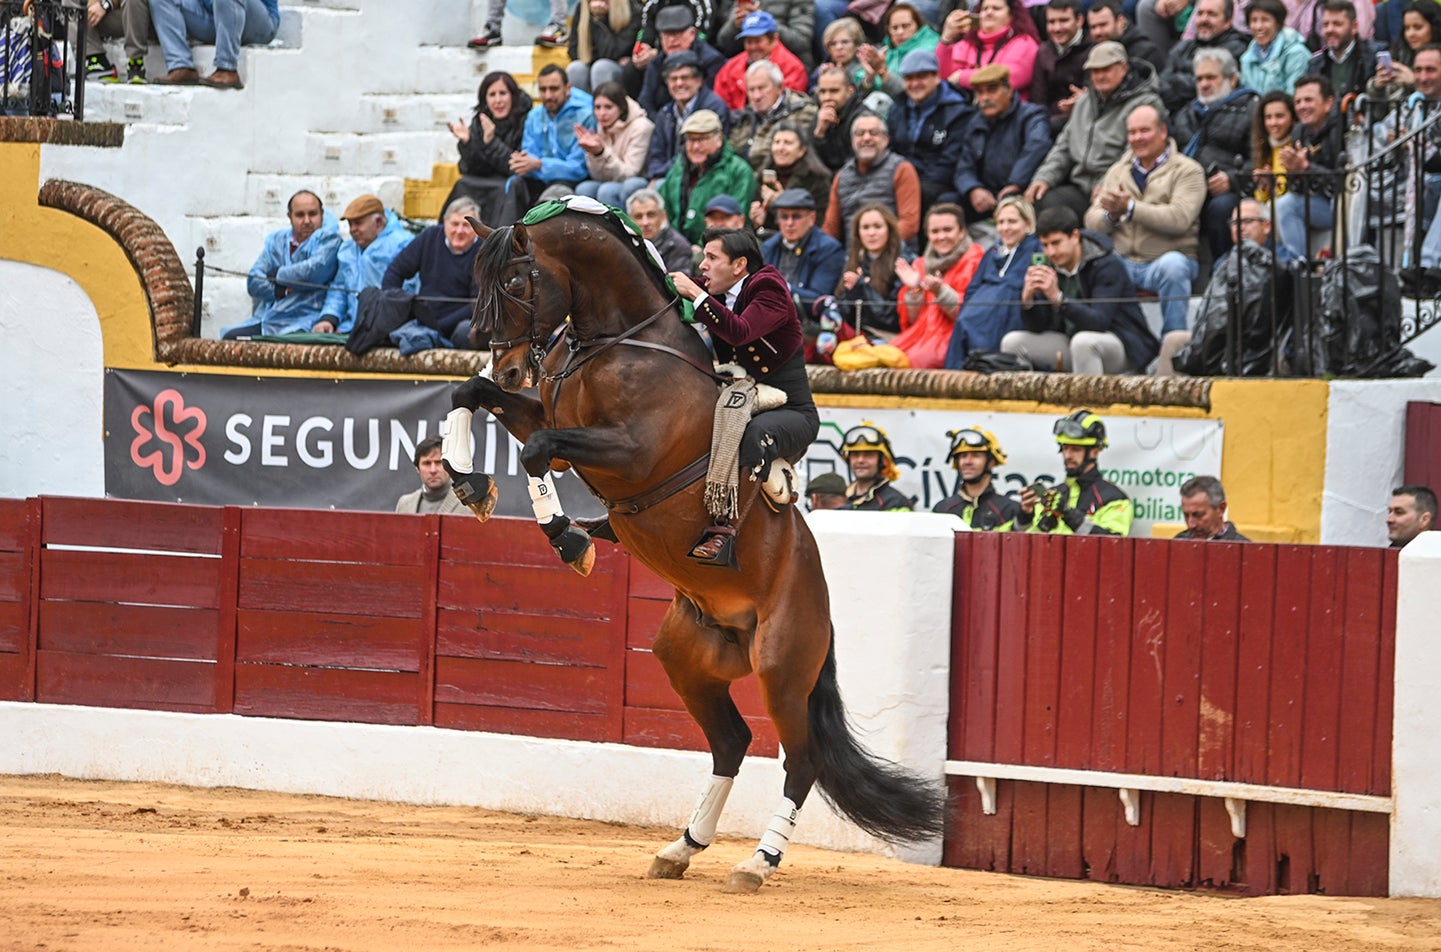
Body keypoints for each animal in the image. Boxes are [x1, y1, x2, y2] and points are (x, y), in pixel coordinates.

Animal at [449, 207, 945, 892]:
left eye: (518, 283)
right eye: (477, 281)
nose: (510, 369)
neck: (618, 343)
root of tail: (822, 607)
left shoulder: (629, 452)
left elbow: (537, 450)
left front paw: (569, 539)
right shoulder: (547, 417)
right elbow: (469, 398)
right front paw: (468, 481)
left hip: (782, 664)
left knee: (802, 759)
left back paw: (757, 862)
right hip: (683, 658)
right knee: (731, 742)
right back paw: (681, 847)